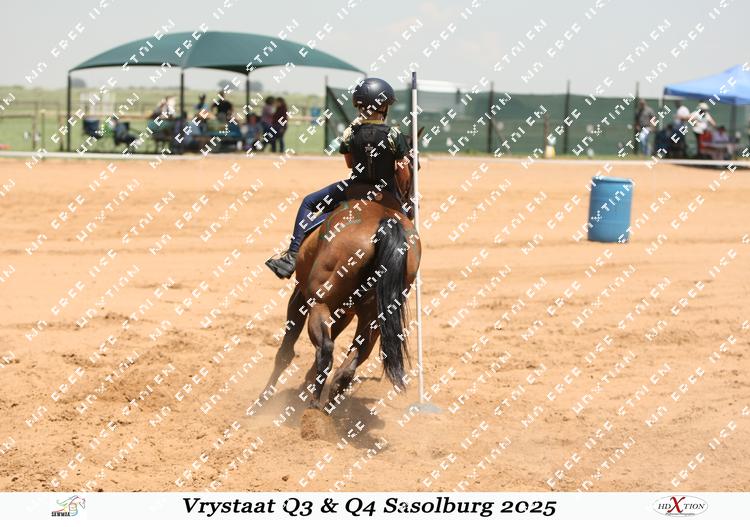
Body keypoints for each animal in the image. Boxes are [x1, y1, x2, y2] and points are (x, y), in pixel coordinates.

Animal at [259, 180, 421, 424]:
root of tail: (385, 222)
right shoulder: (346, 312)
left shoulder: (300, 298)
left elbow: (286, 351)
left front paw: (262, 401)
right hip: (373, 319)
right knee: (351, 362)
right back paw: (327, 407)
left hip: (320, 303)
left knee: (325, 351)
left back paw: (314, 409)